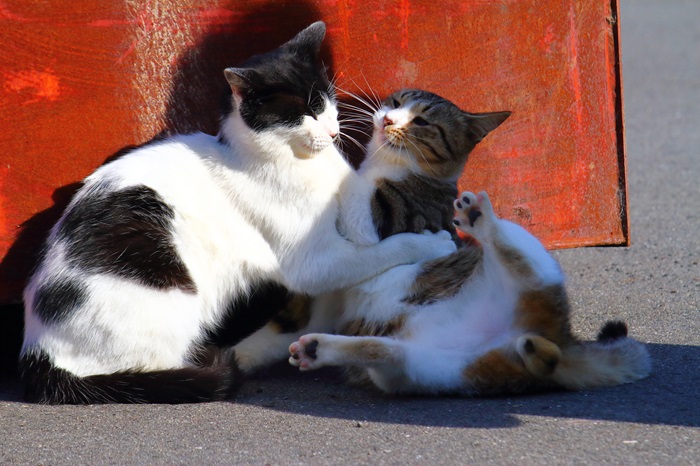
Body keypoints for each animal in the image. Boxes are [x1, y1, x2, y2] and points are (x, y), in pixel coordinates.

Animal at [19, 22, 454, 404]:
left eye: (328, 101)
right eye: (306, 112)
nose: (333, 133)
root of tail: (38, 355)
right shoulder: (316, 262)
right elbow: (384, 251)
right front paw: (434, 244)